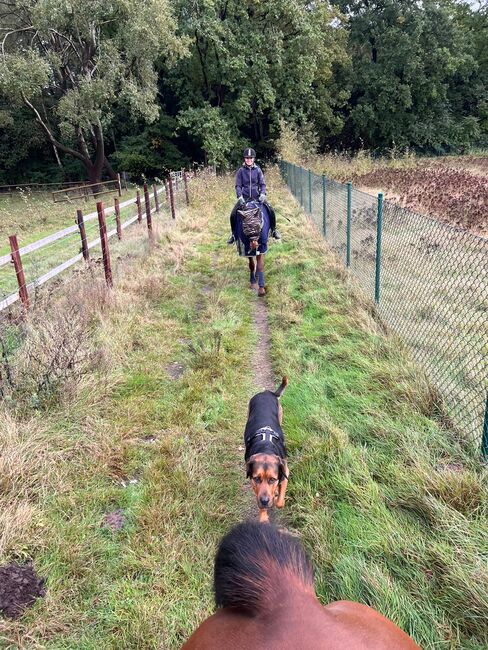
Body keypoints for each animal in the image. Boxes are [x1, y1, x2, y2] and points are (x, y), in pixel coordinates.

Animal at [246, 374, 288, 520]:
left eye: (272, 479)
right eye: (257, 478)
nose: (264, 501)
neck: (266, 448)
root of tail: (267, 393)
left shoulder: (285, 472)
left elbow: (280, 502)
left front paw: (276, 496)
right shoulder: (254, 485)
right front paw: (263, 516)